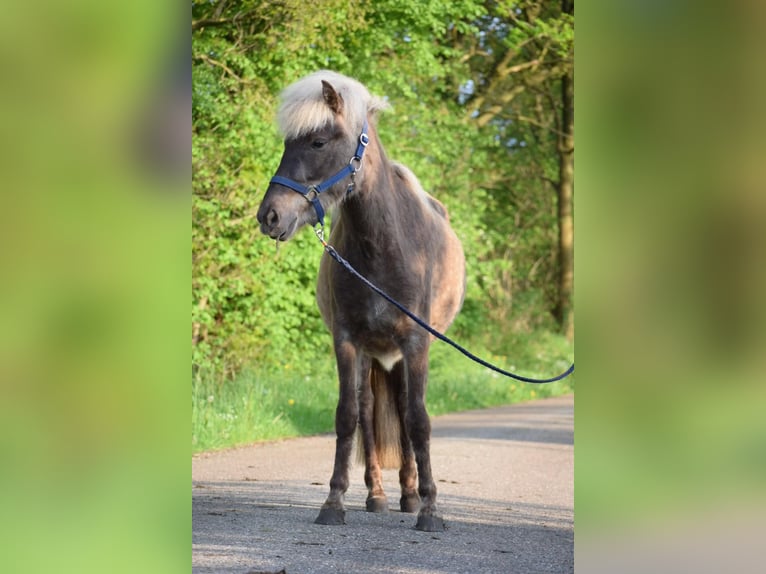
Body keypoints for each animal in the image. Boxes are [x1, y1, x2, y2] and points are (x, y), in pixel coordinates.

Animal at [255, 72, 464, 536]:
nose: (269, 216)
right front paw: (334, 501)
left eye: (317, 142)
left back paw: (410, 495)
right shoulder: (348, 341)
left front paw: (430, 508)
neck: (384, 246)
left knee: (404, 410)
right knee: (369, 413)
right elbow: (347, 415)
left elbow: (418, 420)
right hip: (372, 353)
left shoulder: (416, 344)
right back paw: (378, 496)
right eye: (286, 143)